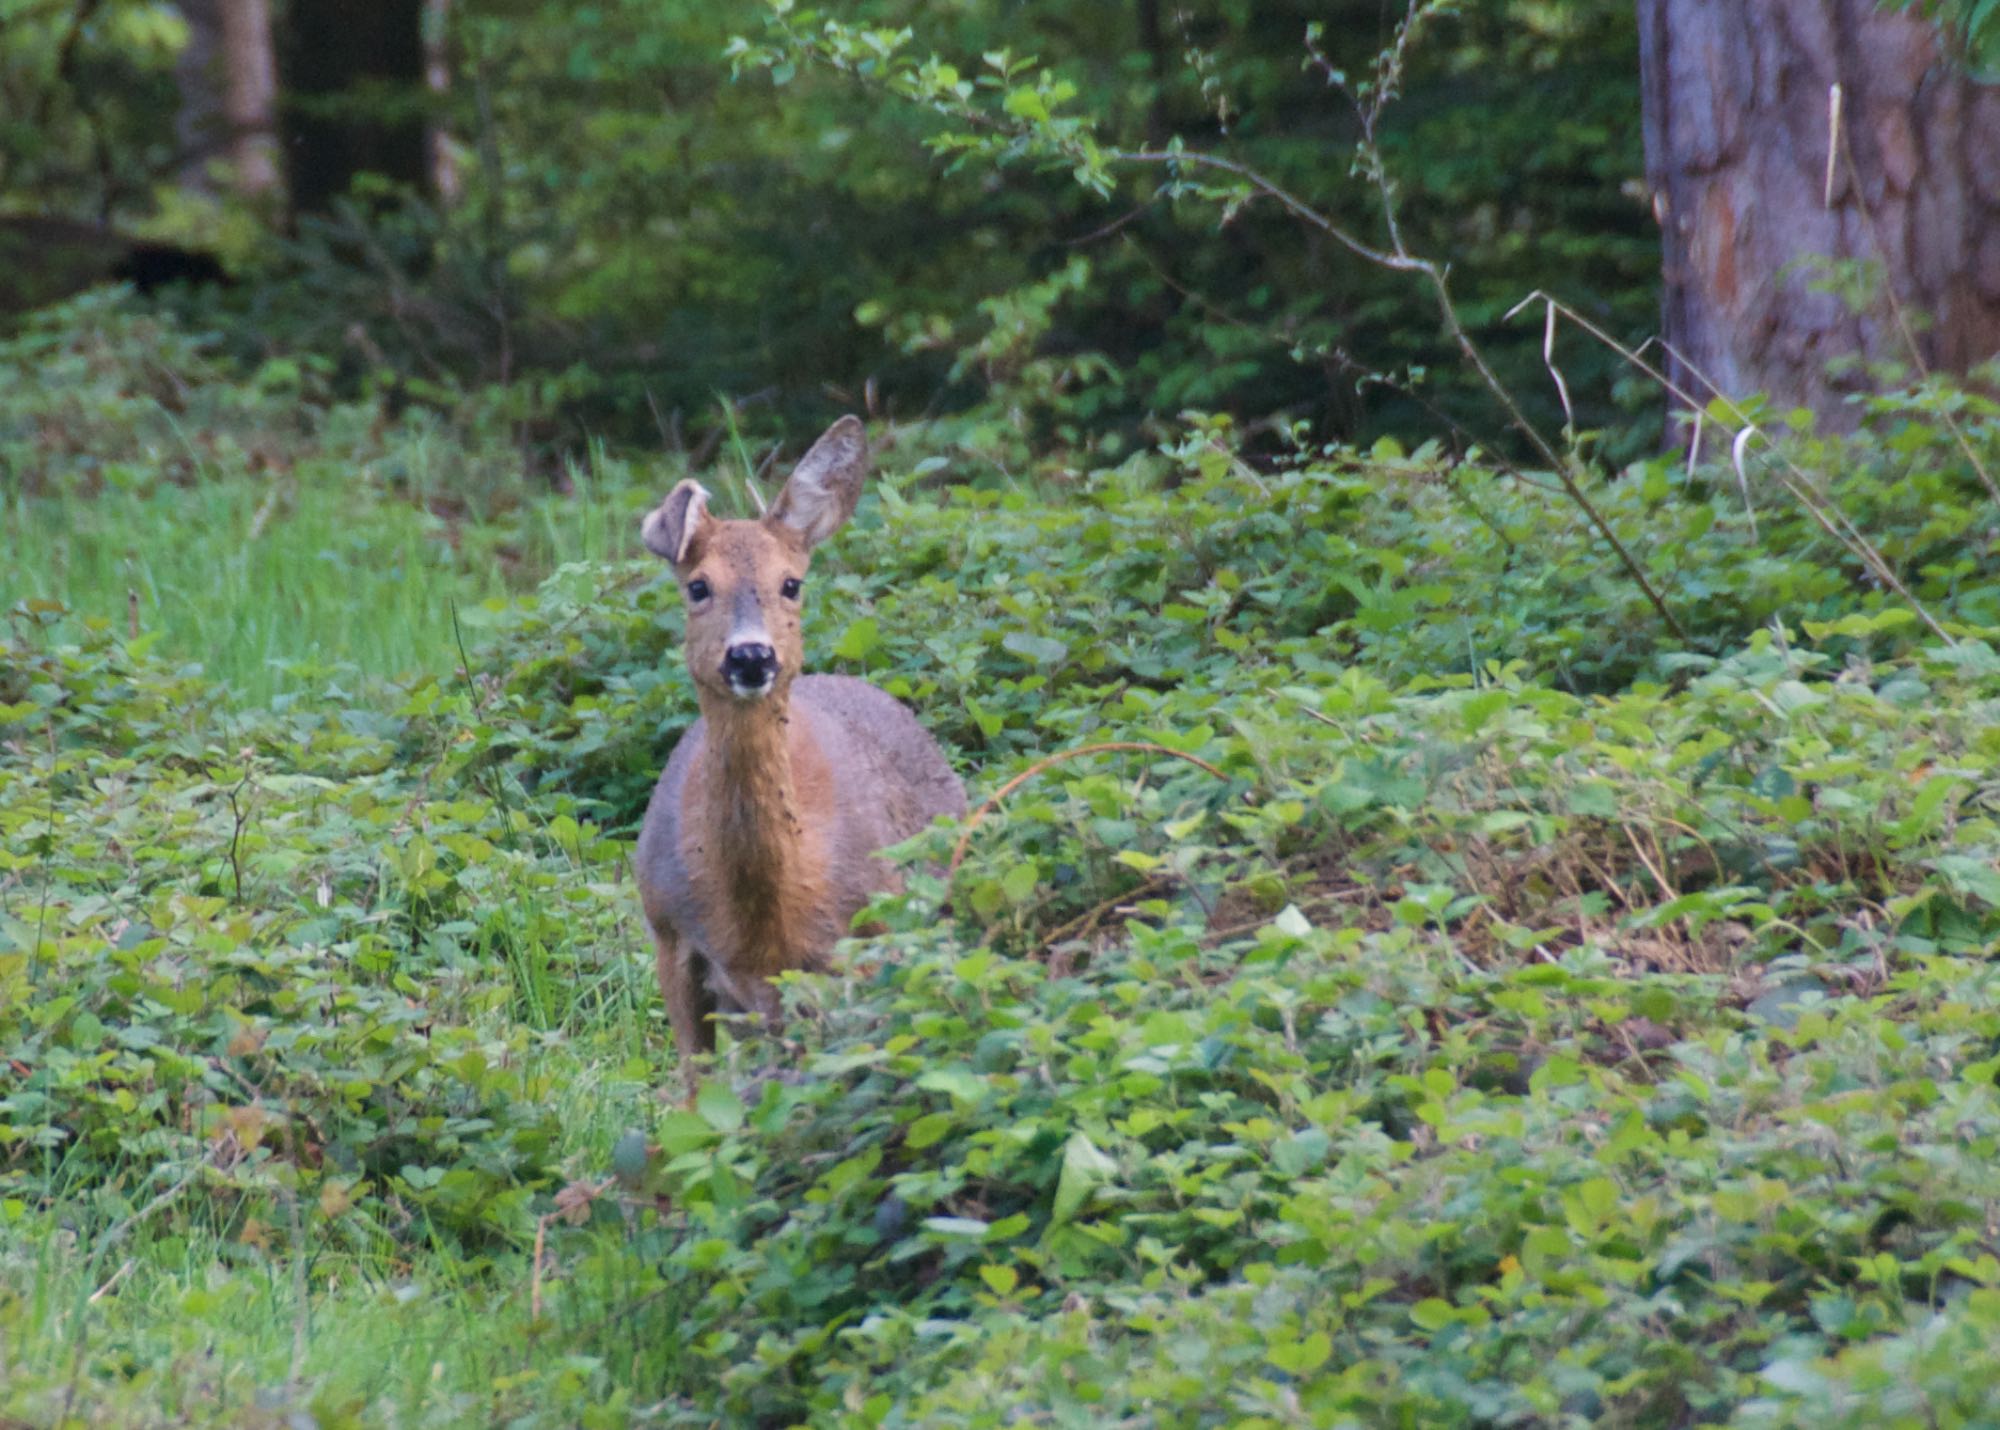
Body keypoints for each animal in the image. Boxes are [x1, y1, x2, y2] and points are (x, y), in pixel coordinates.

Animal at [628, 420, 964, 1072]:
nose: (751, 656)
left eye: (791, 583)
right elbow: (693, 1084)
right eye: (698, 587)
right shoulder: (668, 932)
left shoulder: (862, 936)